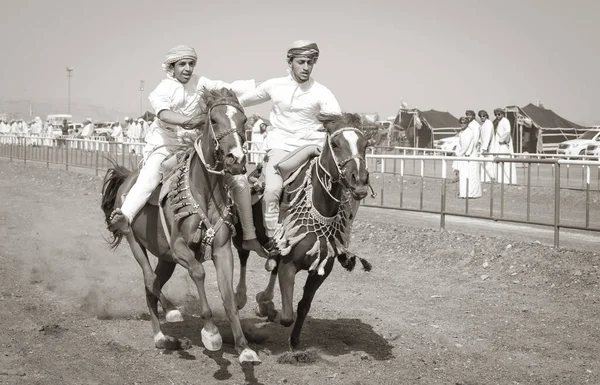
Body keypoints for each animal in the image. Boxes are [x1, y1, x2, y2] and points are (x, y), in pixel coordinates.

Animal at [99, 88, 262, 364]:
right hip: (137, 243)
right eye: (214, 120)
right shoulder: (179, 248)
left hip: (166, 259)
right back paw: (169, 318)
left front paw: (244, 347)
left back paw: (164, 335)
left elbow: (228, 298)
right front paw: (210, 332)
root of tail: (127, 178)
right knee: (148, 279)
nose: (237, 159)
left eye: (243, 121)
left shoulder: (221, 250)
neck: (204, 192)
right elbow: (198, 272)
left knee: (152, 286)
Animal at [232, 112, 372, 348]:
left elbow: (303, 306)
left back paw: (265, 302)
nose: (360, 181)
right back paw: (242, 298)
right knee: (243, 256)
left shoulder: (320, 271)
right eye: (335, 144)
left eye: (365, 144)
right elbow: (287, 315)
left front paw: (295, 342)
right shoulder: (290, 266)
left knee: (272, 263)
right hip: (242, 233)